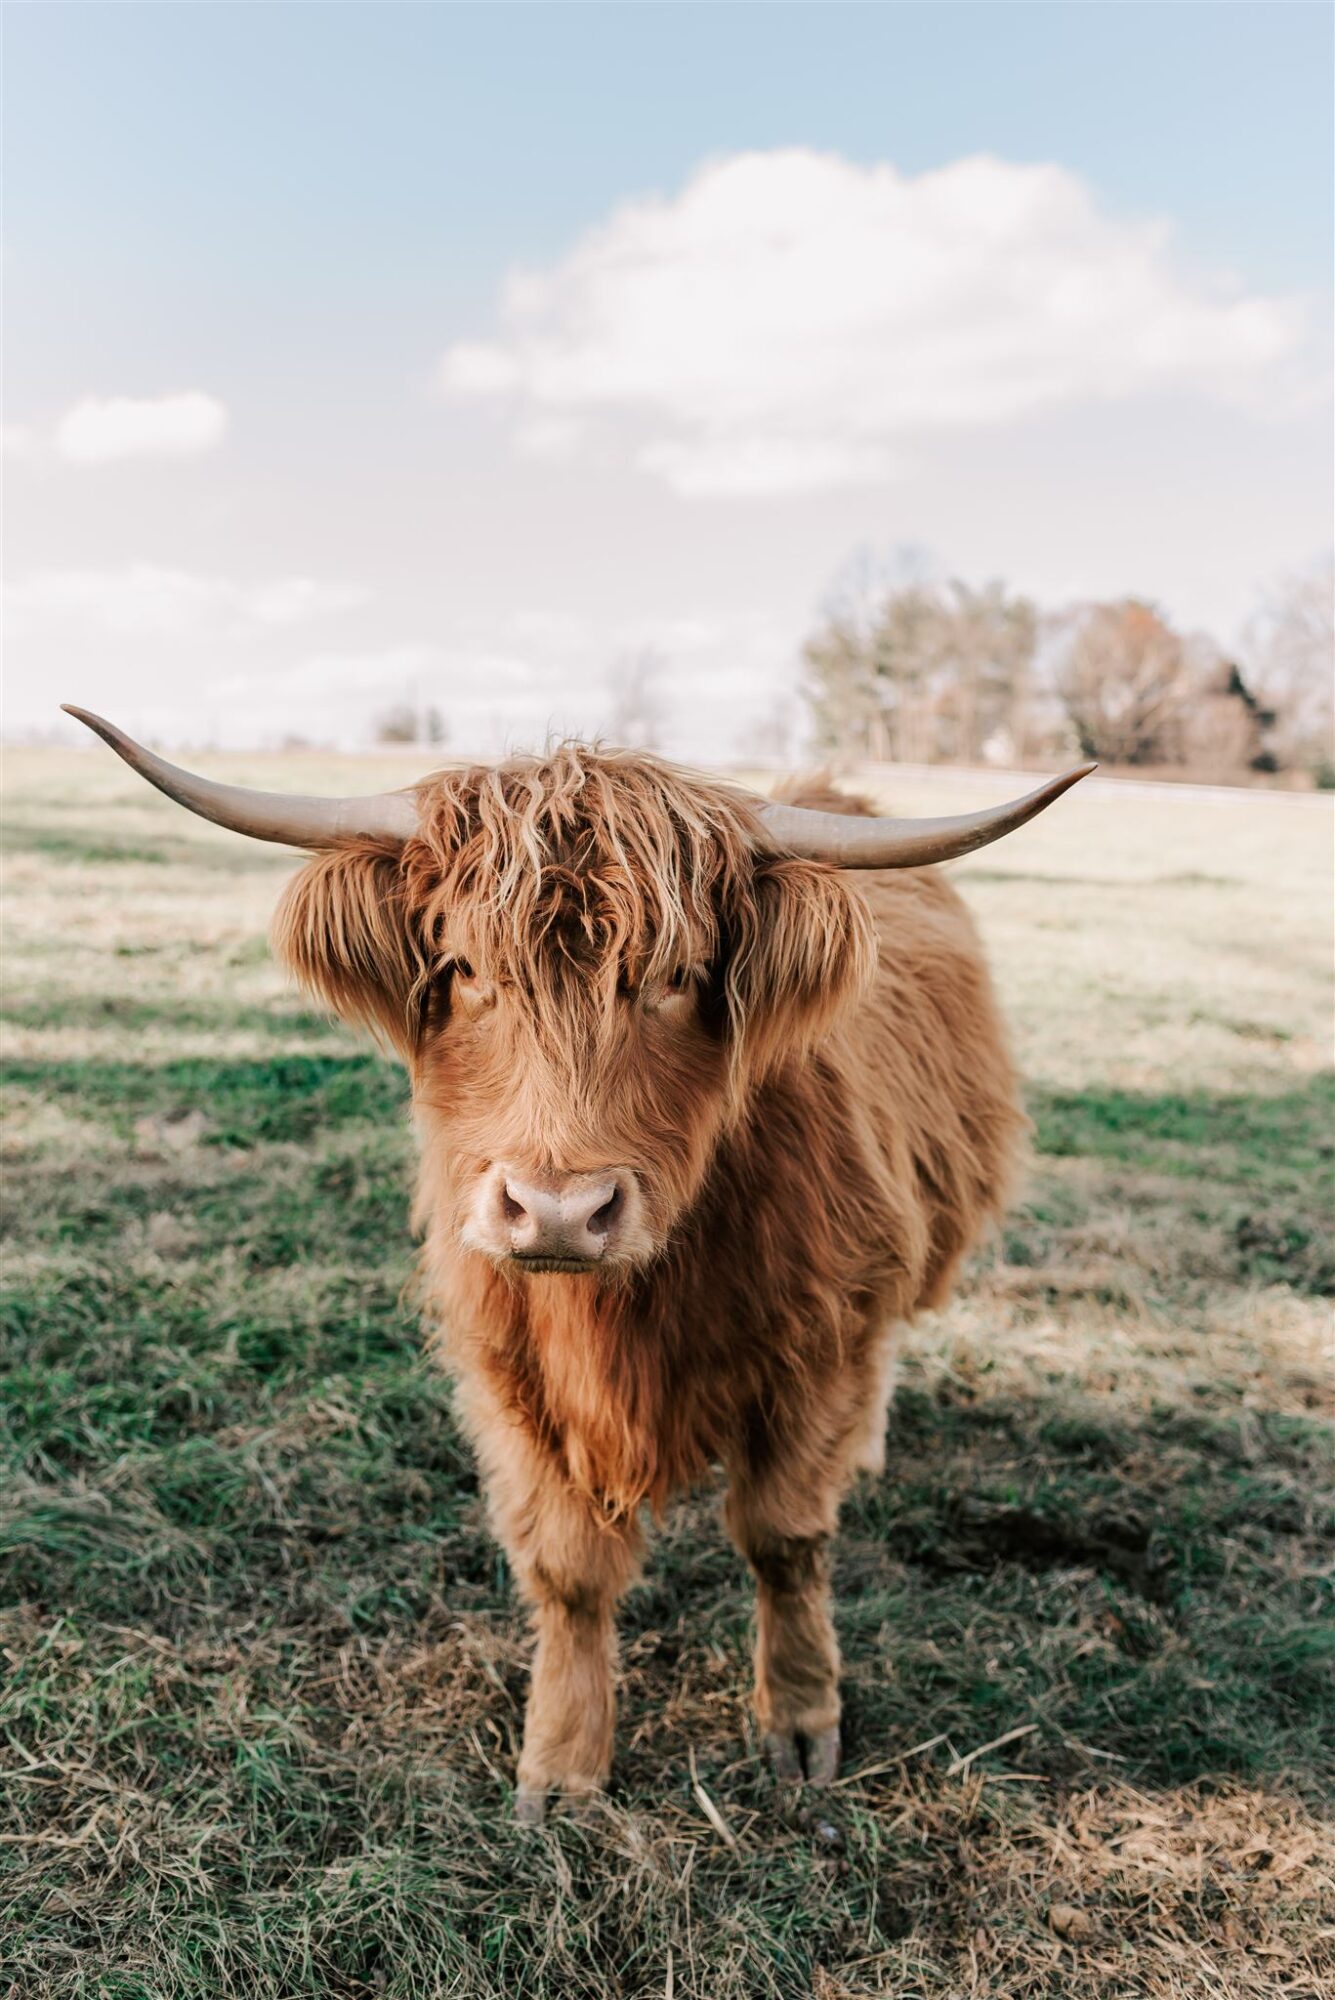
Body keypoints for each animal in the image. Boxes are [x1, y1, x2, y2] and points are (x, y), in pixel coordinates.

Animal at [63, 705, 1092, 1820]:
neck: (621, 1320)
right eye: (466, 969)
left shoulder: (822, 1339)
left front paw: (800, 1718)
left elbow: (784, 1538)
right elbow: (567, 1572)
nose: (559, 1211)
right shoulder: (511, 1371)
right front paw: (559, 1765)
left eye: (678, 978)